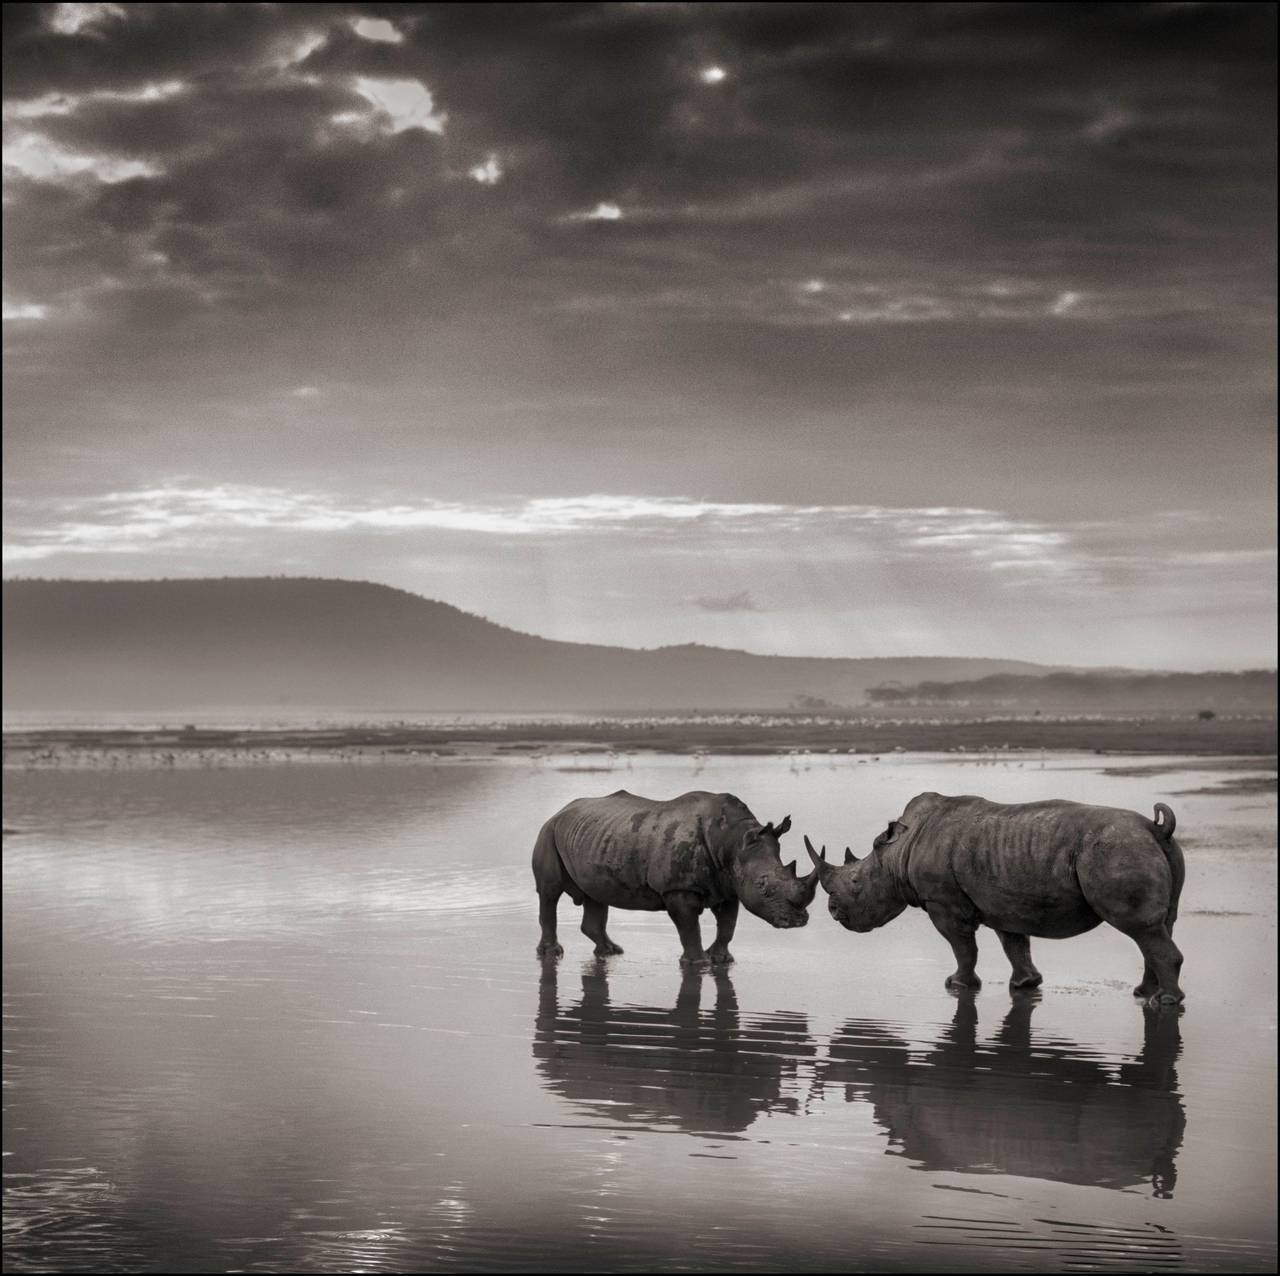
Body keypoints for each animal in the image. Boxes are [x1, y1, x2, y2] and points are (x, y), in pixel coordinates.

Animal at [532, 788, 819, 967]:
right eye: (762, 885)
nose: (798, 921)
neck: (732, 840)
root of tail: (560, 811)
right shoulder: (678, 888)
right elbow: (689, 927)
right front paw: (698, 963)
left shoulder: (729, 886)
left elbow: (728, 924)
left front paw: (721, 960)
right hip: (548, 832)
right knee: (549, 892)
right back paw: (552, 953)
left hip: (593, 837)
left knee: (596, 894)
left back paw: (611, 952)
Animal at [808, 788, 1187, 1003]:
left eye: (856, 881)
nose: (833, 910)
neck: (897, 854)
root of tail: (1154, 828)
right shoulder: (1005, 900)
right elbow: (1014, 943)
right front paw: (1025, 984)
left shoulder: (943, 903)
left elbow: (963, 947)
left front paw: (957, 985)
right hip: (1145, 849)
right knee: (1157, 927)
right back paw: (1144, 994)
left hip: (1116, 849)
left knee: (1141, 928)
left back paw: (1165, 1001)